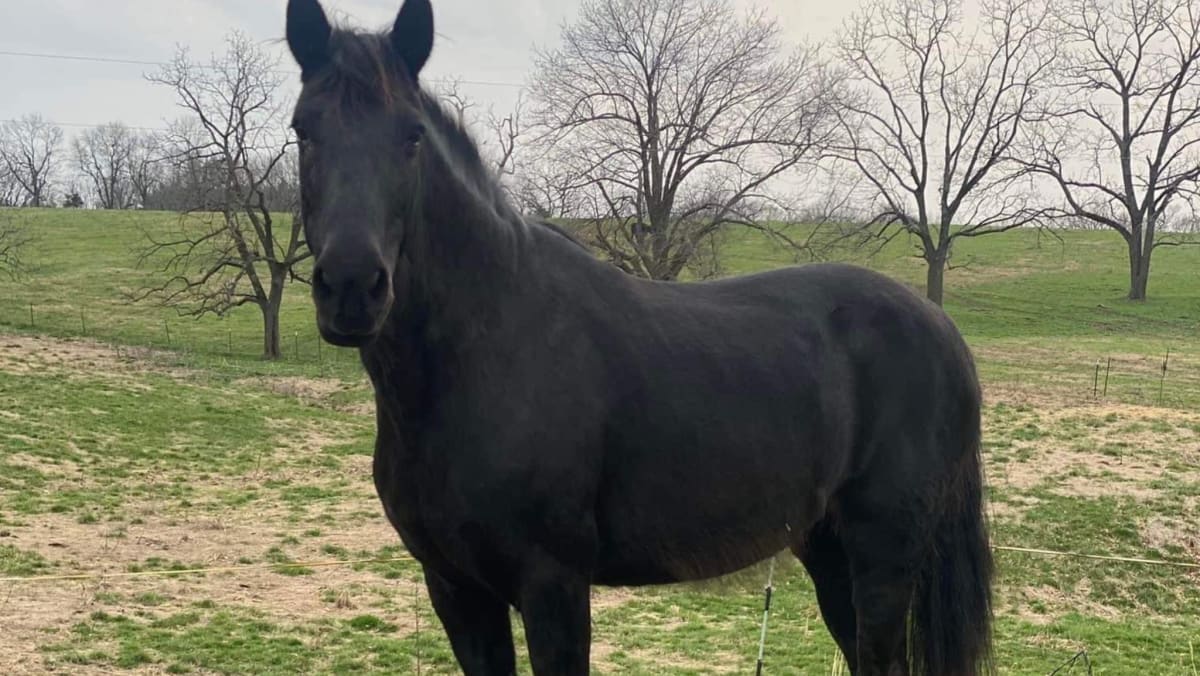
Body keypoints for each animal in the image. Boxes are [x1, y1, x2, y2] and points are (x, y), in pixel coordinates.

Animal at [284, 0, 994, 673]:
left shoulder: (553, 585)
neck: (482, 356)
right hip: (827, 550)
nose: (352, 286)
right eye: (302, 131)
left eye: (411, 137)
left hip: (883, 555)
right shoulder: (457, 589)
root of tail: (943, 331)